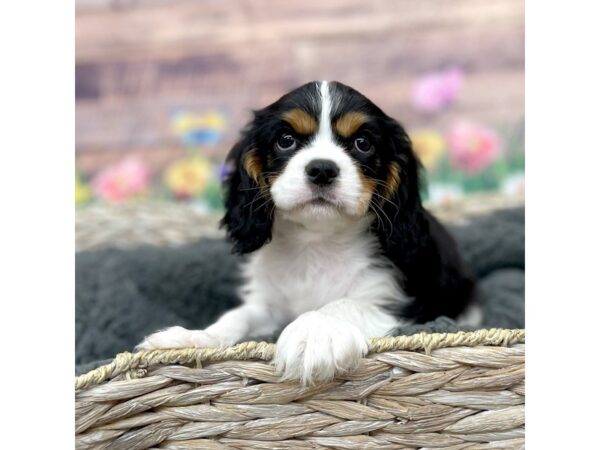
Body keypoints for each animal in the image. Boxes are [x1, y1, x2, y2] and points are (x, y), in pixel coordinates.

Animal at [138, 81, 476, 384]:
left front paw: (313, 332)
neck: (316, 241)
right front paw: (194, 337)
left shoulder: (402, 305)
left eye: (363, 143)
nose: (322, 169)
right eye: (286, 140)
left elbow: (343, 305)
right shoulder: (269, 305)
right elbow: (238, 316)